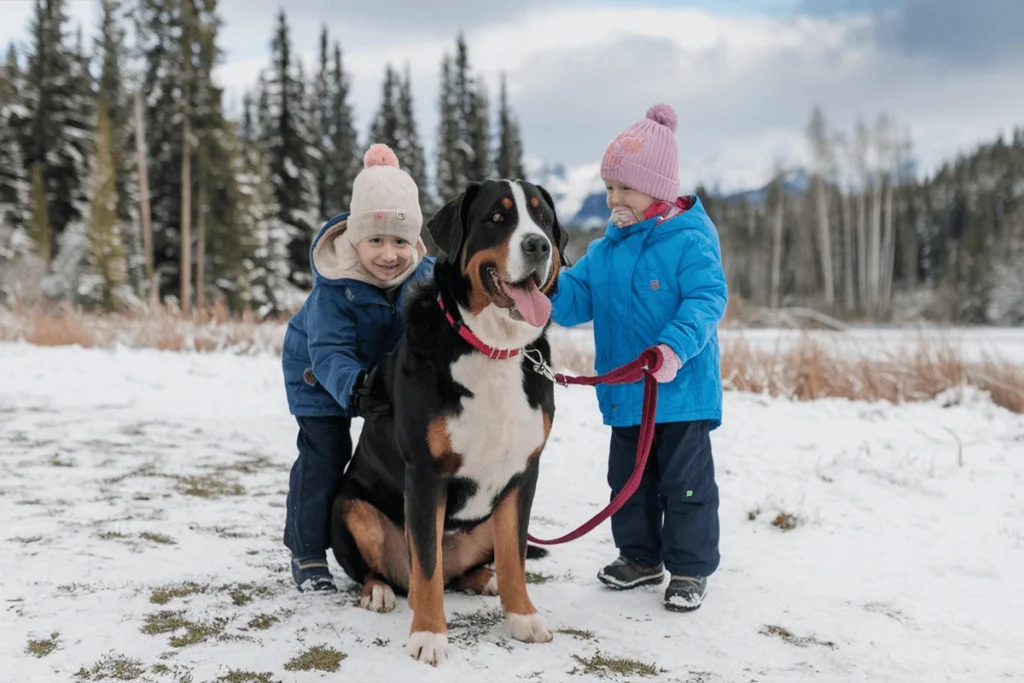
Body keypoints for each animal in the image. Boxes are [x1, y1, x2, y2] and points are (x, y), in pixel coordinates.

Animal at [327, 178, 569, 667]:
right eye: (497, 218)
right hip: (349, 506)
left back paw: (484, 579)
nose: (538, 245)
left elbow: (514, 555)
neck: (492, 348)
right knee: (392, 571)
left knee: (460, 571)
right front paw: (428, 635)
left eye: (543, 219)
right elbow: (426, 563)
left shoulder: (523, 474)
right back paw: (379, 591)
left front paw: (523, 616)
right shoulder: (425, 474)